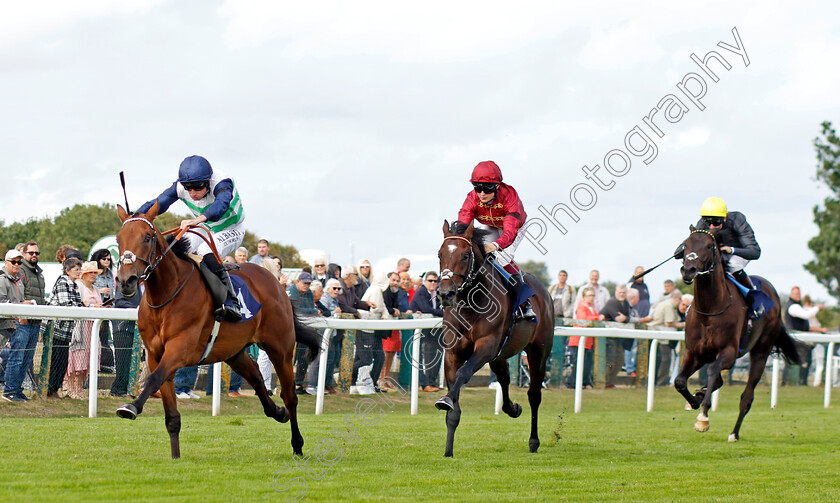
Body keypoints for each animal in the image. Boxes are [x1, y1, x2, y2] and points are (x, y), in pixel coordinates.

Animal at [113, 204, 320, 460]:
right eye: (118, 239)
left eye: (147, 237)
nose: (126, 281)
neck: (167, 294)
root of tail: (277, 283)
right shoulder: (154, 354)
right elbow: (170, 411)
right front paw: (175, 457)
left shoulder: (180, 348)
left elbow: (154, 378)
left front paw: (130, 407)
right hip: (235, 352)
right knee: (257, 378)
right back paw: (278, 412)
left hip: (280, 348)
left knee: (290, 396)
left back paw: (297, 443)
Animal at [430, 220, 556, 456]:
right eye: (440, 254)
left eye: (465, 256)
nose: (445, 294)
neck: (470, 302)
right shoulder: (453, 352)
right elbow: (454, 401)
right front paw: (448, 450)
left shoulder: (486, 346)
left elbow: (463, 373)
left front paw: (447, 400)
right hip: (500, 354)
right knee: (504, 378)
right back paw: (512, 408)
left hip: (538, 352)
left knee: (534, 394)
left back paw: (533, 442)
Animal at [676, 226, 800, 442]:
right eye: (685, 245)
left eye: (709, 246)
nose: (688, 270)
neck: (710, 309)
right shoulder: (695, 352)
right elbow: (680, 381)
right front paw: (695, 400)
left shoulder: (729, 352)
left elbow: (713, 372)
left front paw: (703, 418)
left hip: (761, 351)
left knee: (747, 397)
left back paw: (734, 433)